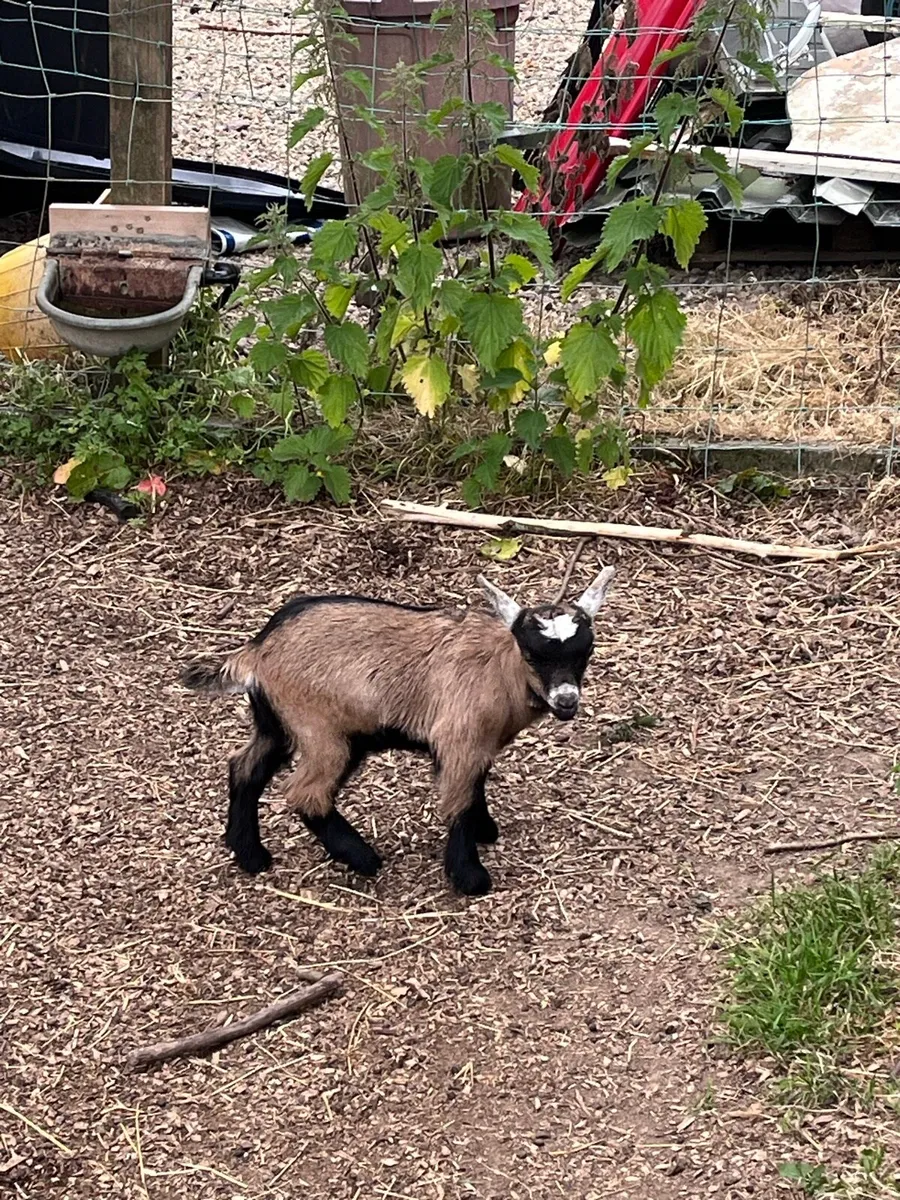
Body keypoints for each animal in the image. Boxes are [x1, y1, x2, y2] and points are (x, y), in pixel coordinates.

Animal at [182, 566, 615, 895]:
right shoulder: (458, 739)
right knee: (306, 792)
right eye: (532, 653)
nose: (566, 701)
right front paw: (470, 876)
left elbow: (476, 784)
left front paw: (486, 829)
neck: (499, 667)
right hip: (322, 730)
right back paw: (362, 857)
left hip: (277, 724)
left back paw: (251, 855)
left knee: (245, 768)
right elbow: (458, 799)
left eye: (585, 651)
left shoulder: (479, 745)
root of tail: (257, 650)